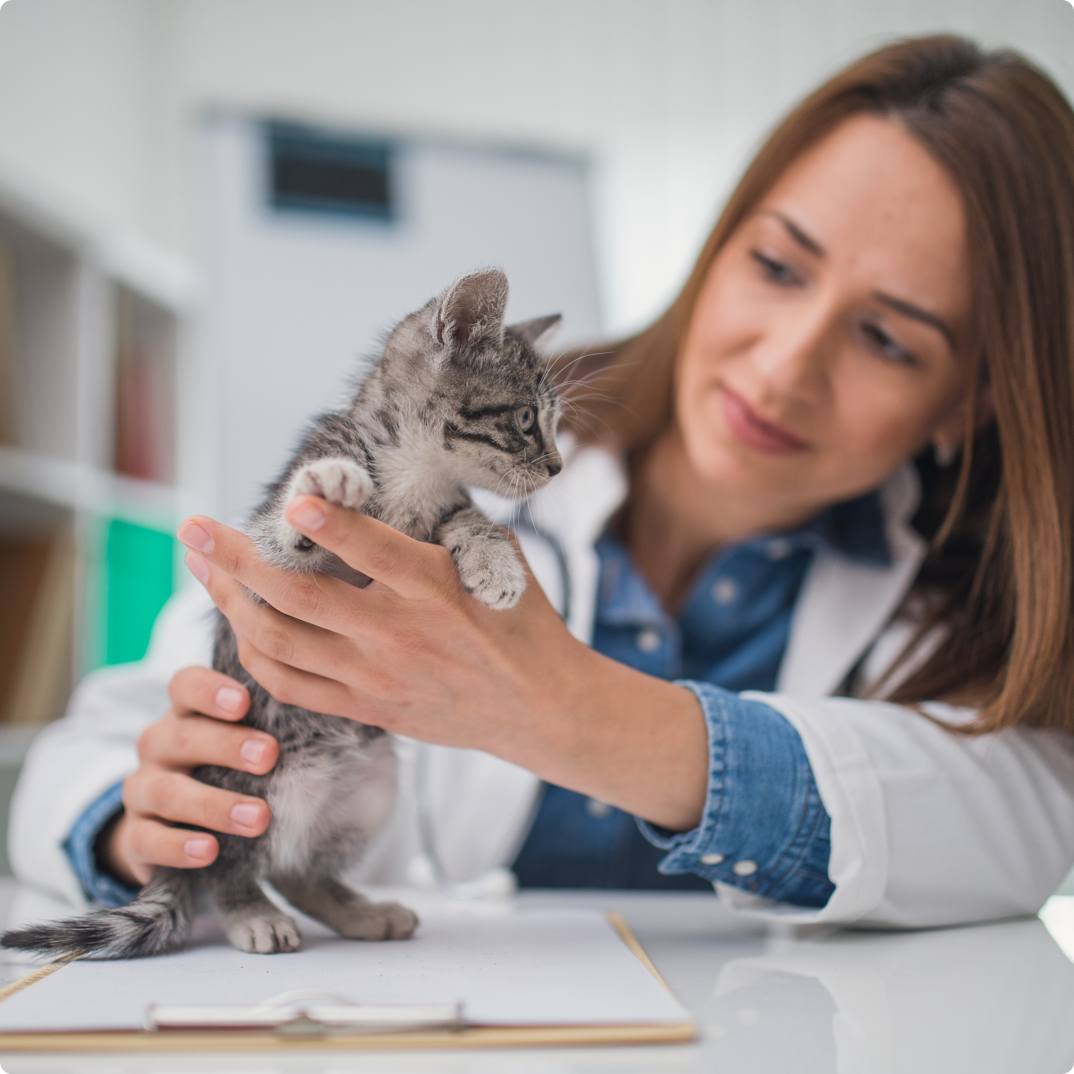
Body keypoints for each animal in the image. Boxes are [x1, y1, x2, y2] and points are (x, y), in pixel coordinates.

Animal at [4, 266, 567, 958]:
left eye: (553, 423)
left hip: (372, 783)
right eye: (525, 418)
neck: (416, 475)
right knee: (227, 864)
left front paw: (496, 564)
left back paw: (359, 910)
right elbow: (284, 532)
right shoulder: (260, 567)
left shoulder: (443, 510)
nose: (558, 465)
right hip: (251, 789)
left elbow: (469, 517)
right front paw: (324, 490)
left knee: (298, 870)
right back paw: (252, 913)